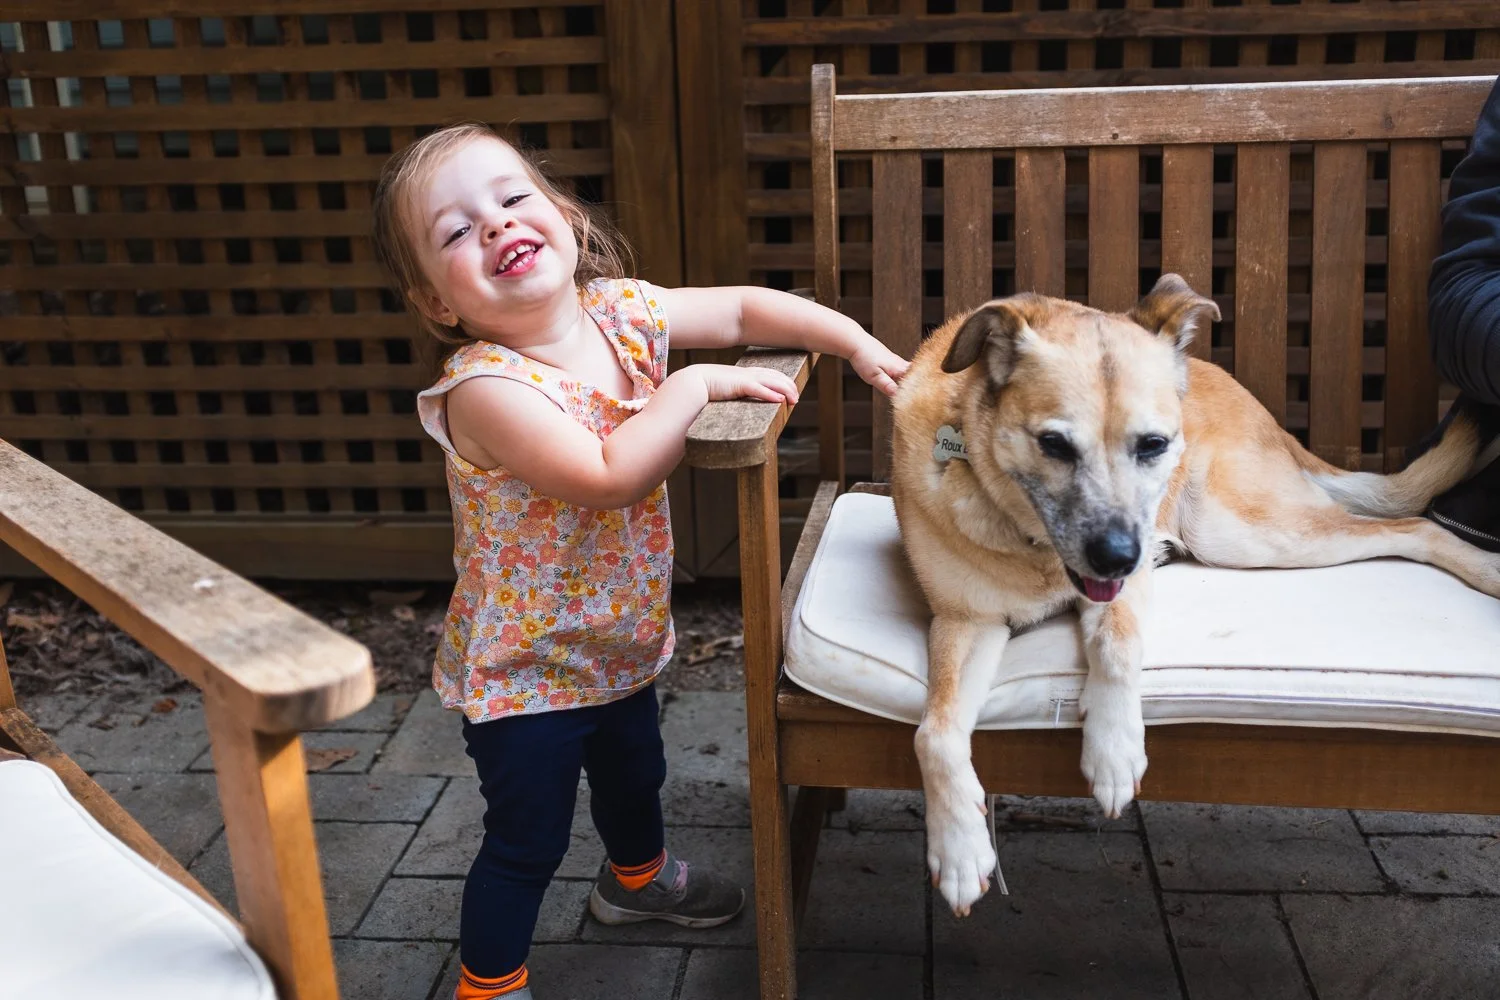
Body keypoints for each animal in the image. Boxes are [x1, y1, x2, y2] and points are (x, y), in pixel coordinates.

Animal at [890, 274, 1500, 916]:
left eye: (1152, 444)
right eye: (1053, 444)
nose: (1119, 556)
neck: (1032, 542)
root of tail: (1257, 408)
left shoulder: (1121, 594)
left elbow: (1116, 647)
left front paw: (1113, 748)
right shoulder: (964, 620)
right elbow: (935, 732)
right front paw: (959, 846)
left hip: (1240, 529)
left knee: (1415, 526)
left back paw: (1486, 568)